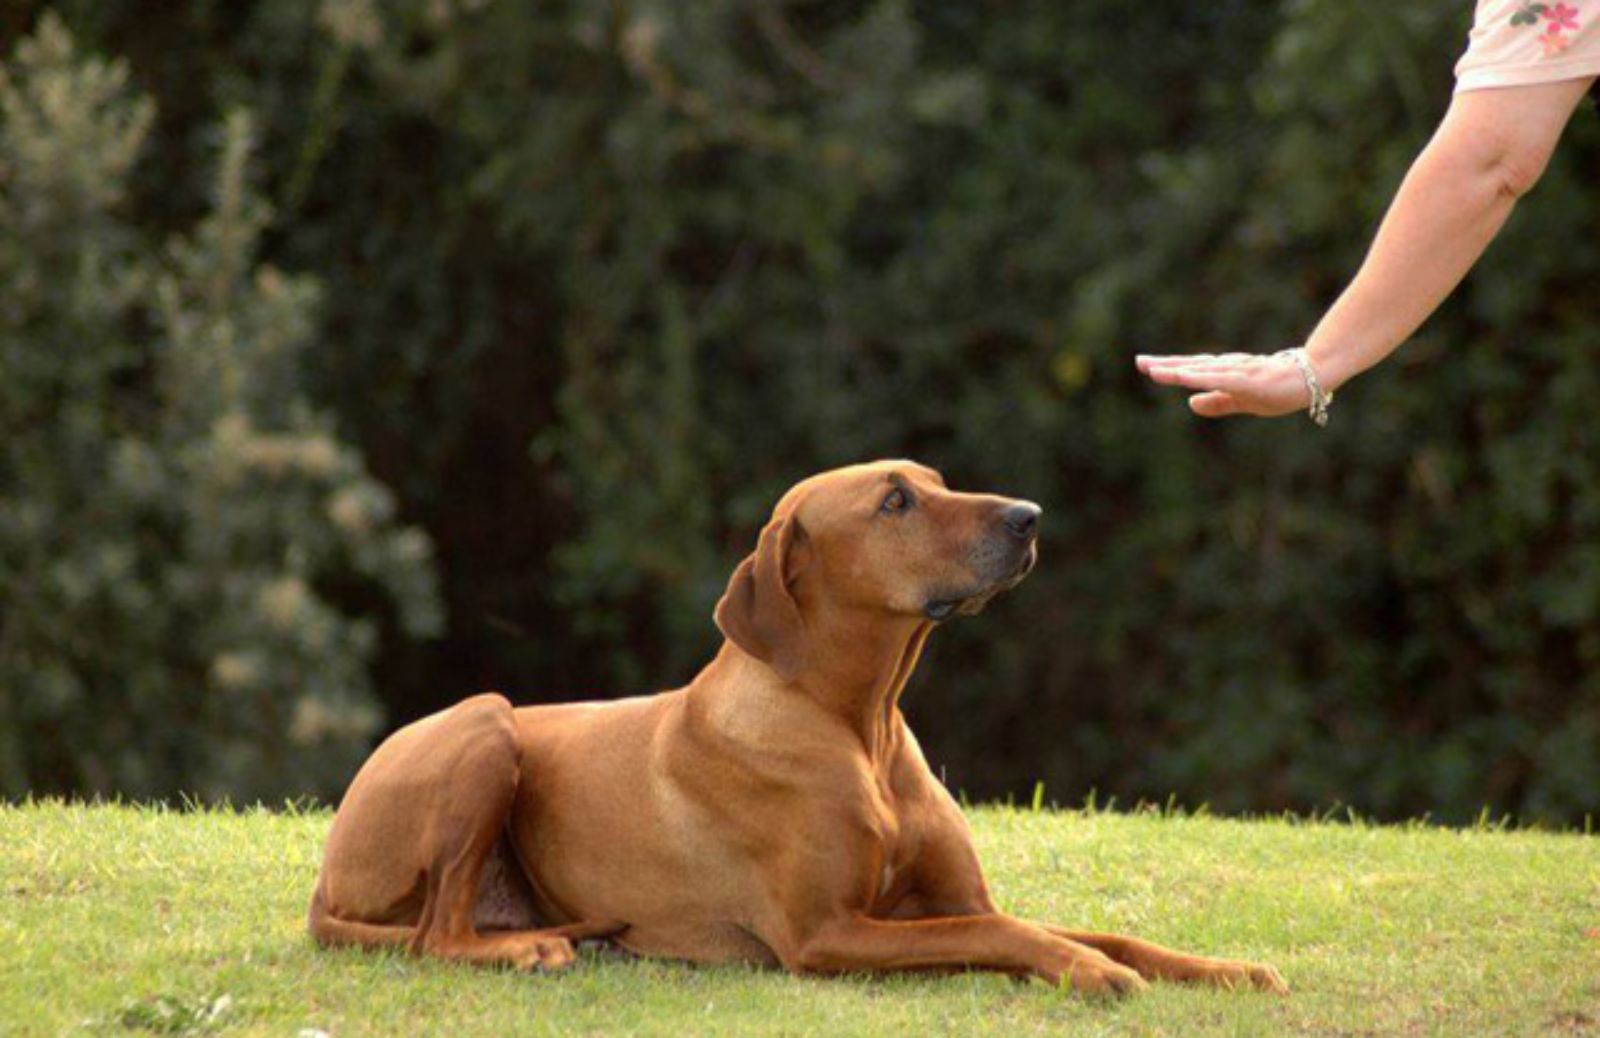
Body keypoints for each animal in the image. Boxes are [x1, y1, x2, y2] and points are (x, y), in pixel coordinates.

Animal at [308, 463, 1286, 998]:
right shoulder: (827, 934)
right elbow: (1008, 936)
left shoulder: (956, 899)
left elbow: (1098, 931)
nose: (1029, 517)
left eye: (936, 482)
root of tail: (324, 879)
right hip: (486, 722)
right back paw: (531, 949)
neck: (860, 726)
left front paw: (1225, 970)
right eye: (894, 503)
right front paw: (1087, 973)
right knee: (435, 935)